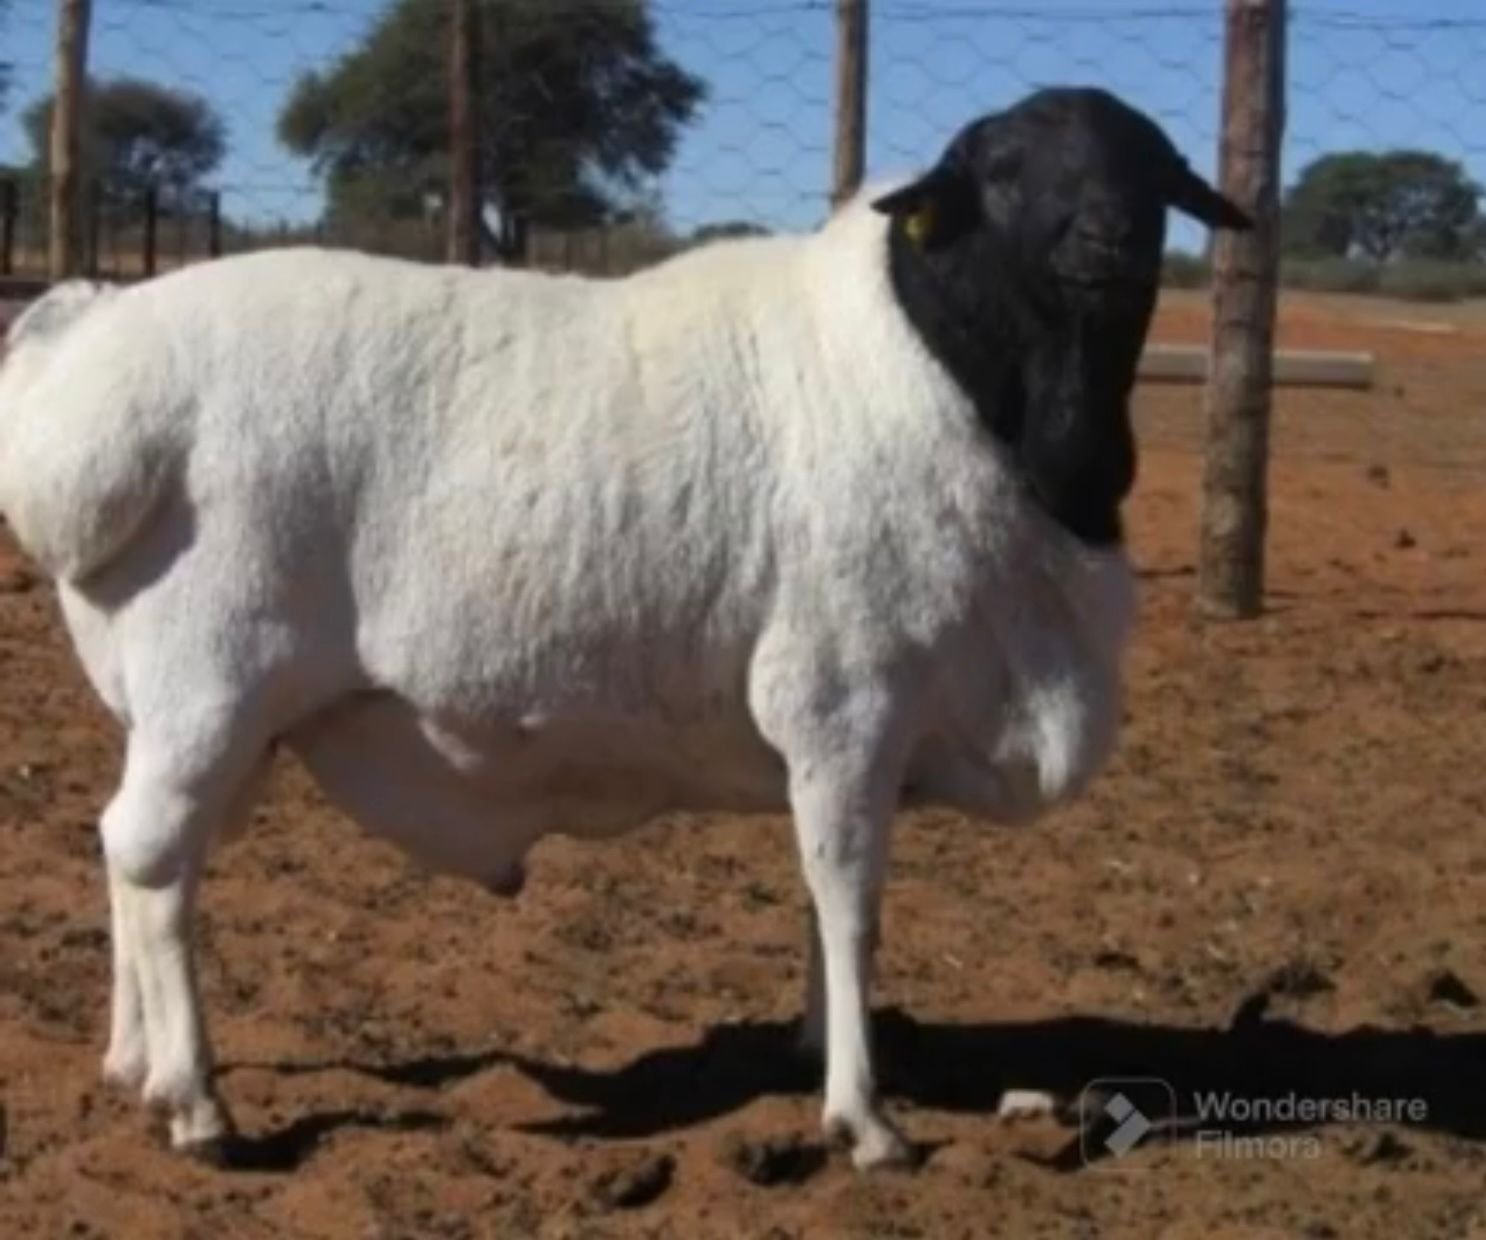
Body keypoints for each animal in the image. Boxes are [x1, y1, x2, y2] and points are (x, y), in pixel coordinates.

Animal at [0, 85, 1249, 1171]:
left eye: (1151, 166)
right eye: (1001, 170)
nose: (1108, 235)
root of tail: (91, 367)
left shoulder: (850, 737)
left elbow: (819, 897)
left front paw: (813, 1050)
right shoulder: (844, 699)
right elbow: (850, 900)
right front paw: (862, 1117)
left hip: (218, 715)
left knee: (138, 856)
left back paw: (134, 1064)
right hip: (211, 678)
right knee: (152, 856)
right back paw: (196, 1104)